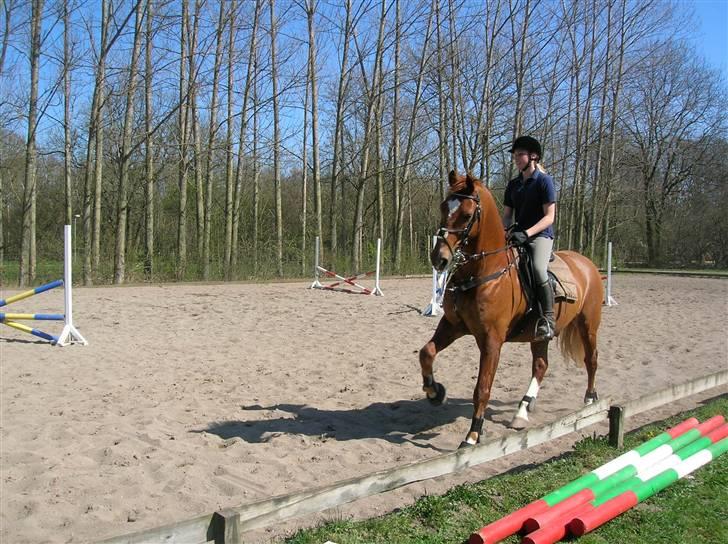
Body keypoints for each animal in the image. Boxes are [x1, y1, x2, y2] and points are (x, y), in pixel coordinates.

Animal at [420, 172, 604, 448]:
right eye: (444, 207)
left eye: (466, 214)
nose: (439, 259)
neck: (483, 273)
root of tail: (586, 264)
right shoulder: (453, 326)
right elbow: (427, 353)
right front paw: (435, 392)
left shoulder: (491, 341)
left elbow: (482, 388)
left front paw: (472, 436)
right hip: (540, 336)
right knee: (541, 365)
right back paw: (522, 411)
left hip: (588, 325)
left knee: (590, 360)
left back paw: (590, 400)